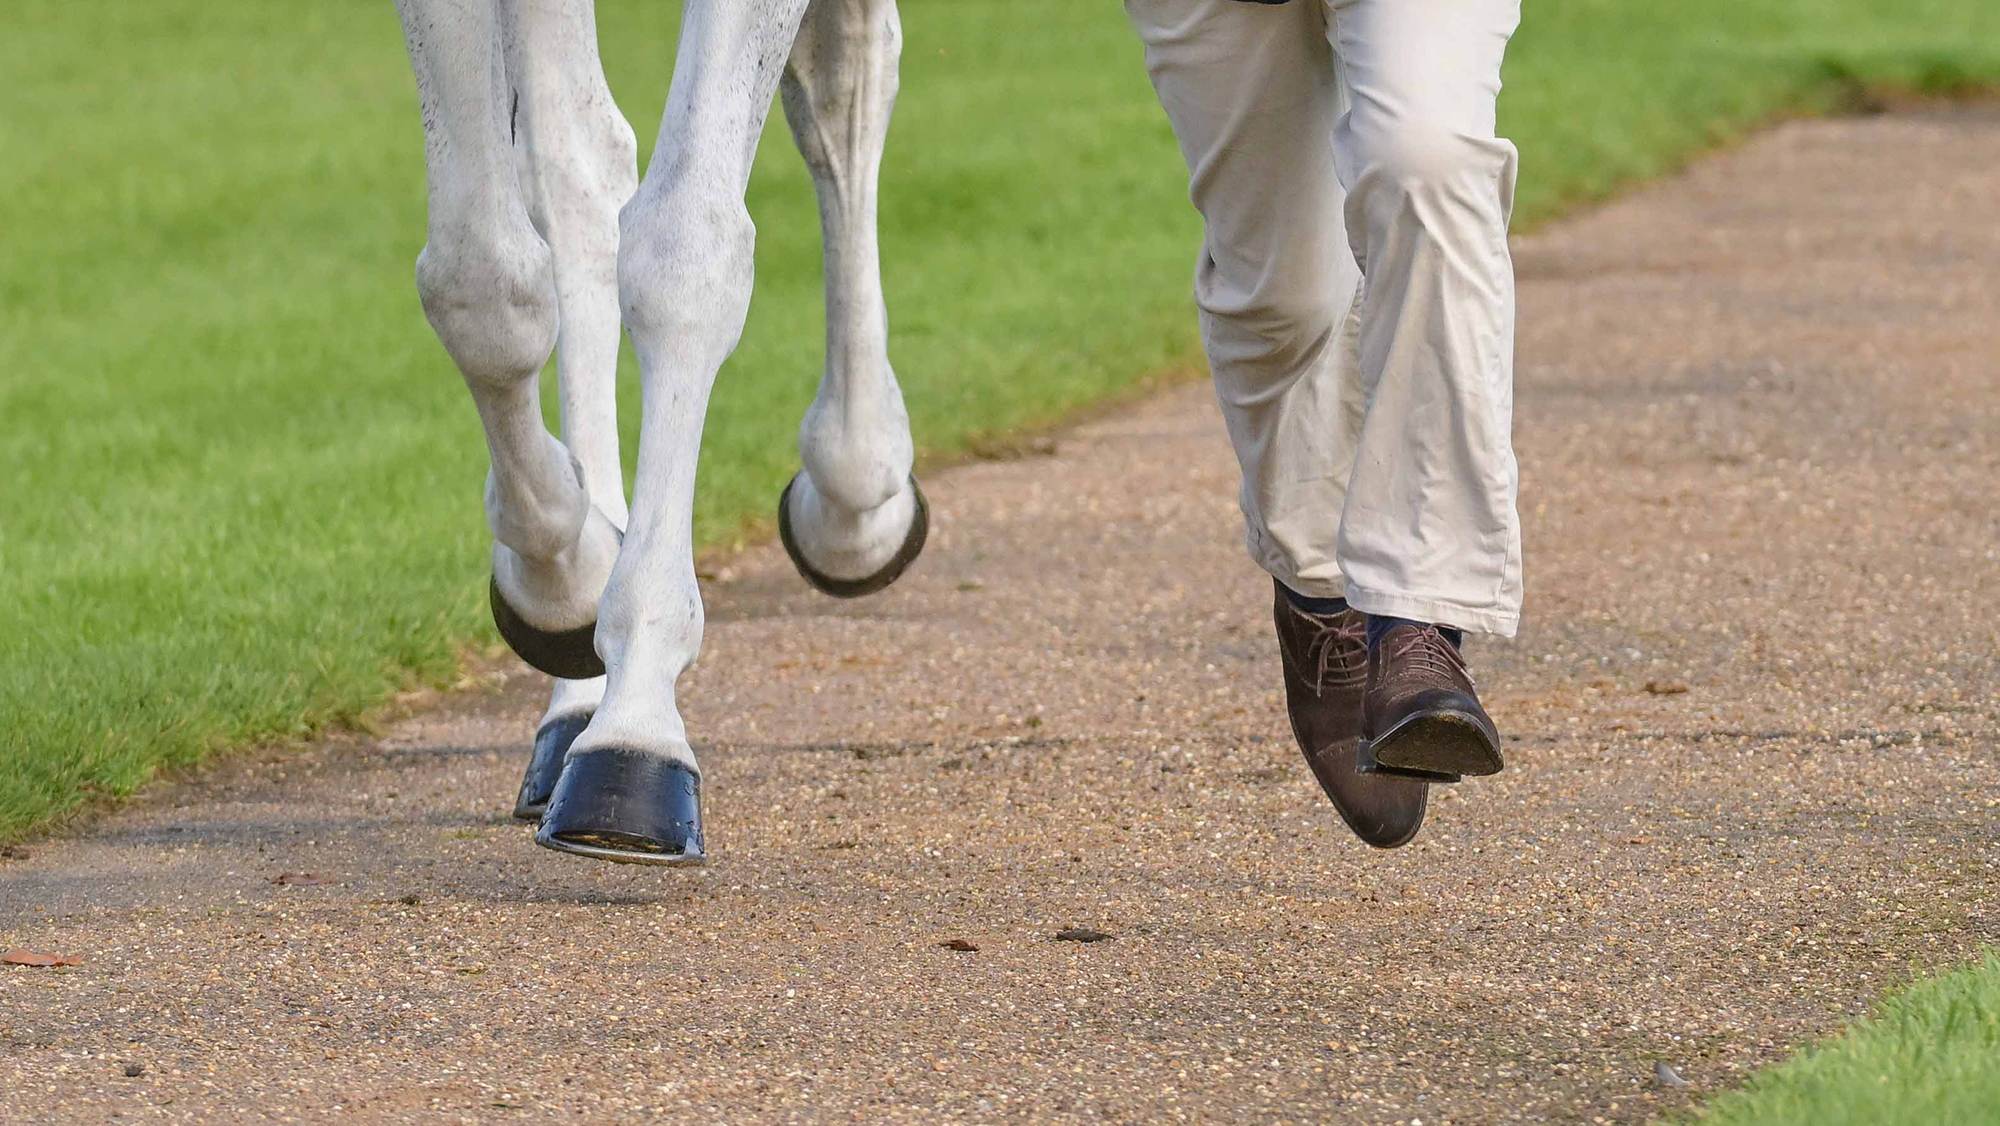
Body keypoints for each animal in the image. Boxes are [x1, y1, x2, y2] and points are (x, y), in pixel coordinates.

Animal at [392, 0, 922, 865]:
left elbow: (684, 249)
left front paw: (636, 726)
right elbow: (481, 276)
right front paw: (564, 576)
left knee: (845, 84)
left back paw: (856, 491)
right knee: (576, 167)